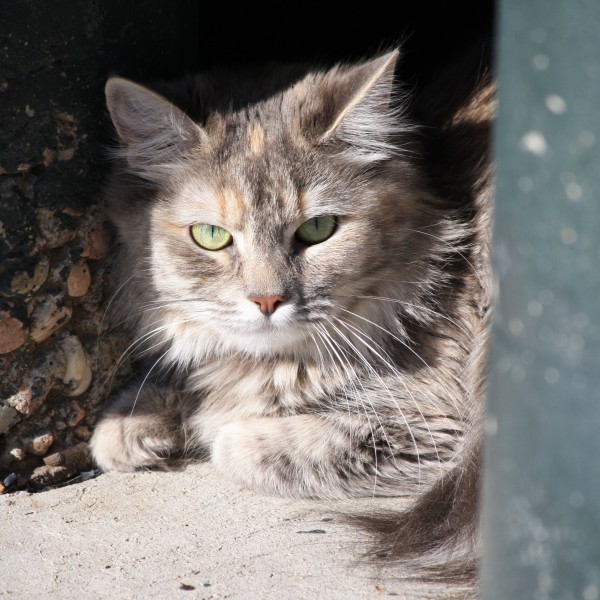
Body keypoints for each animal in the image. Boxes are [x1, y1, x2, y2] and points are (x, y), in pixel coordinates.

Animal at [89, 43, 492, 596]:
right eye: (211, 236)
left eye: (318, 229)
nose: (266, 300)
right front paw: (137, 424)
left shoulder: (429, 418)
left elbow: (234, 444)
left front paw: (200, 427)